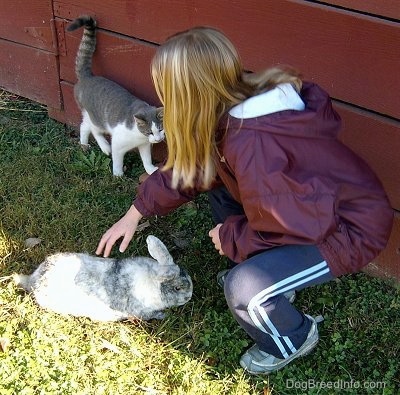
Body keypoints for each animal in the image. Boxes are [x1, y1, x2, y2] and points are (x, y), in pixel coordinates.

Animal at [14, 235, 192, 322]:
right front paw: (164, 316)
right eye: (177, 288)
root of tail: (33, 280)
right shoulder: (140, 311)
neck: (153, 281)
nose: (189, 297)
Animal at [67, 15, 164, 176]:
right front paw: (118, 175)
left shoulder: (144, 145)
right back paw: (105, 147)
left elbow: (146, 159)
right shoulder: (118, 143)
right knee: (94, 130)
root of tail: (88, 76)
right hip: (96, 118)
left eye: (161, 129)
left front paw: (151, 170)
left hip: (90, 116)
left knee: (84, 126)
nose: (158, 140)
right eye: (150, 131)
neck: (138, 136)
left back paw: (84, 144)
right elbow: (118, 160)